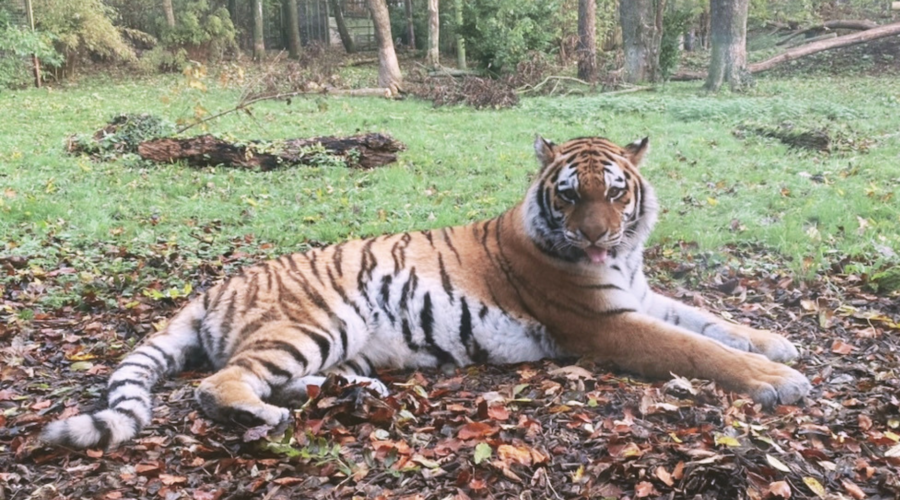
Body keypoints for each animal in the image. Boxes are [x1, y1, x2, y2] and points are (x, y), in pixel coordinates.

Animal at [41, 135, 811, 449]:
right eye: (569, 195)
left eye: (616, 193)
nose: (597, 237)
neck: (620, 262)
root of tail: (216, 285)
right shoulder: (607, 322)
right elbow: (696, 349)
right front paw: (779, 380)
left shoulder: (640, 297)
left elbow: (708, 319)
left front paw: (776, 341)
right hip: (317, 320)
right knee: (219, 383)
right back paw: (270, 416)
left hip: (339, 338)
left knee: (271, 375)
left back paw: (354, 392)